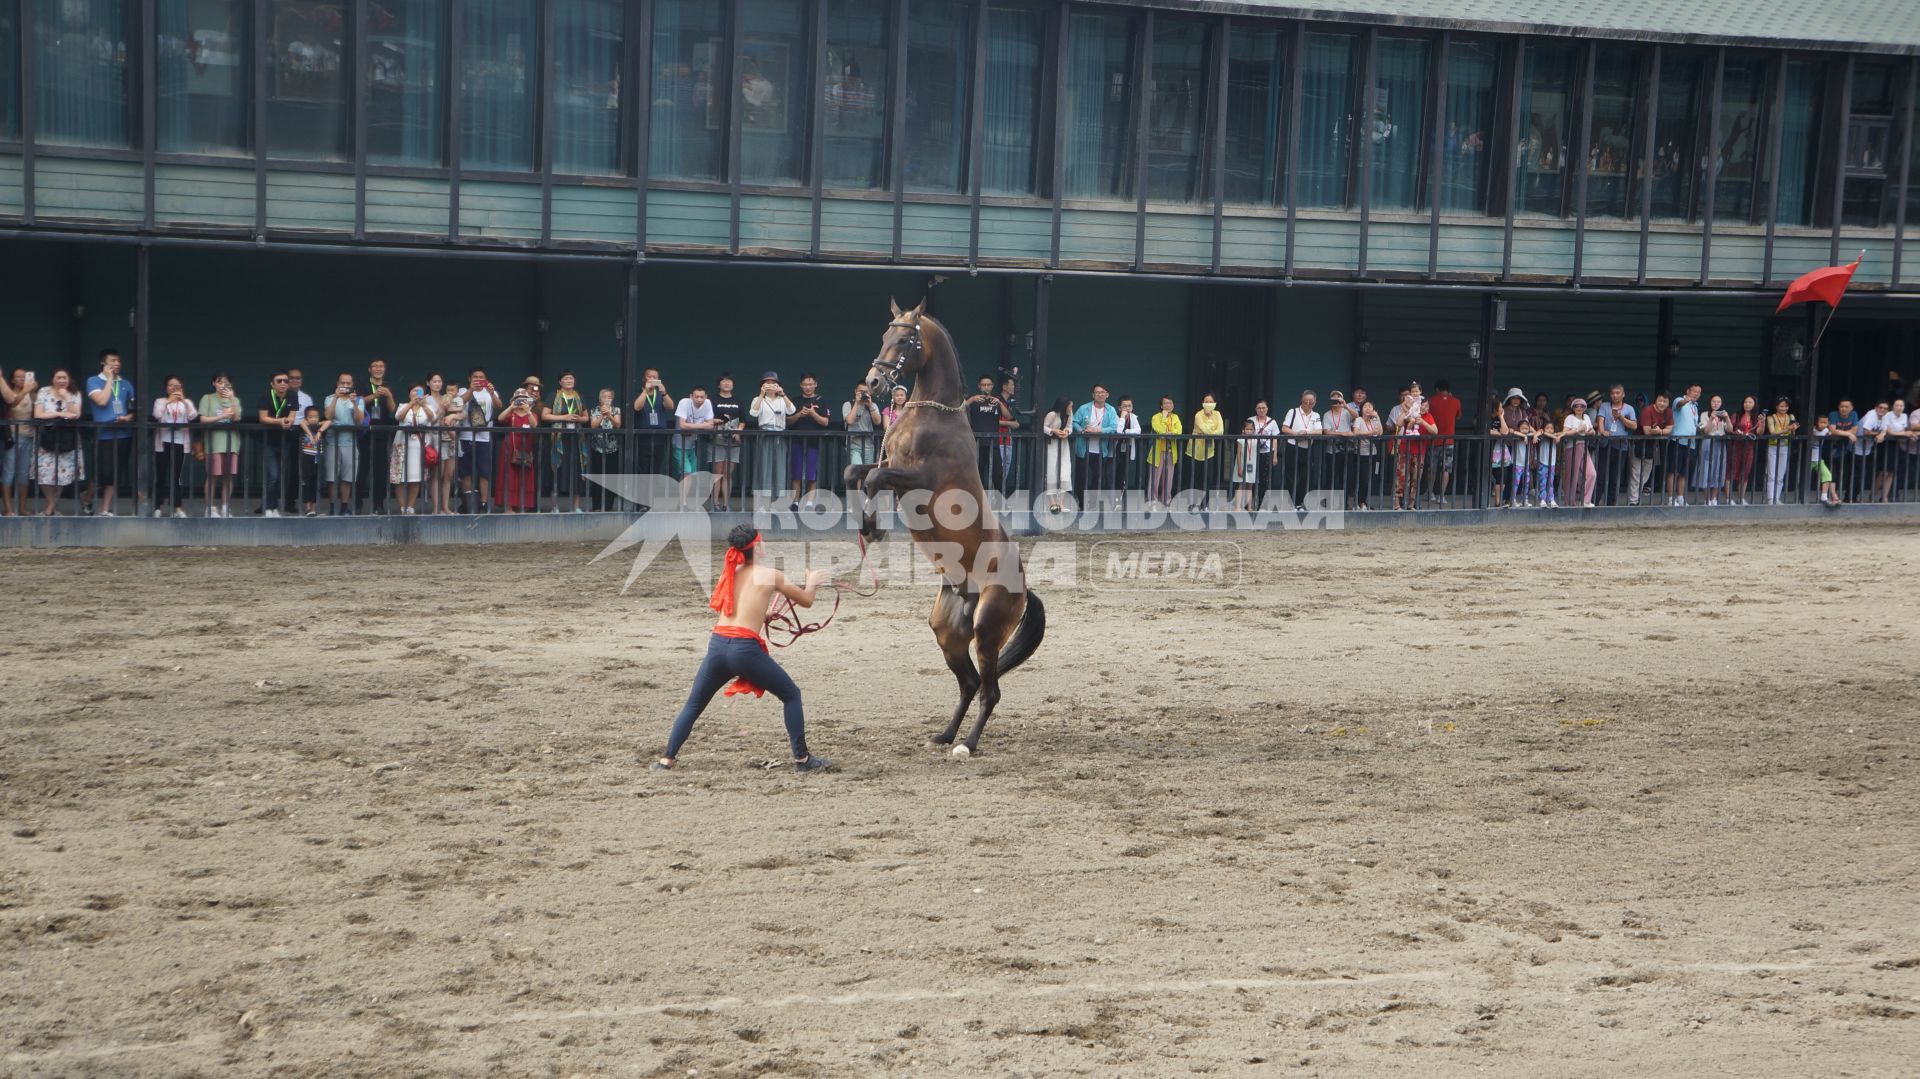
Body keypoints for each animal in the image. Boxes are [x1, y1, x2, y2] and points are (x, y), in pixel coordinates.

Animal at [848, 293, 1044, 748]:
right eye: (885, 334)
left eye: (905, 340)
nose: (875, 384)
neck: (932, 416)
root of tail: (1024, 588)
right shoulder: (887, 464)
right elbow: (855, 474)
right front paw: (867, 525)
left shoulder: (918, 480)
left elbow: (873, 480)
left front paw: (873, 527)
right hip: (948, 632)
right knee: (969, 684)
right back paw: (945, 735)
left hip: (987, 629)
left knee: (990, 690)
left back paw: (967, 744)